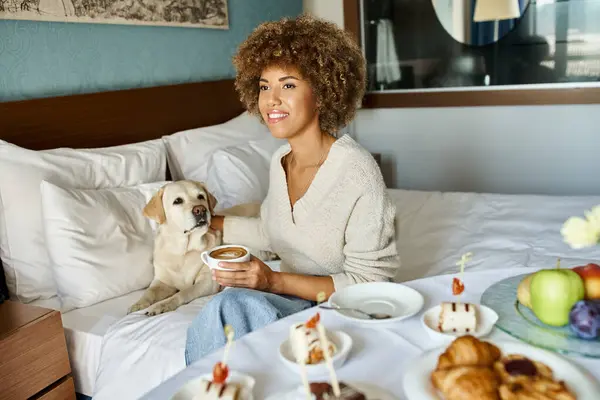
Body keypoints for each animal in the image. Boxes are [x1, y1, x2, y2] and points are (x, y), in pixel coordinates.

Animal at [127, 180, 258, 316]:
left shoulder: (207, 281)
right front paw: (138, 304)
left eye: (201, 196)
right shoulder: (162, 281)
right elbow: (150, 291)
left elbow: (183, 292)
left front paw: (162, 305)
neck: (184, 251)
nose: (200, 209)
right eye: (177, 201)